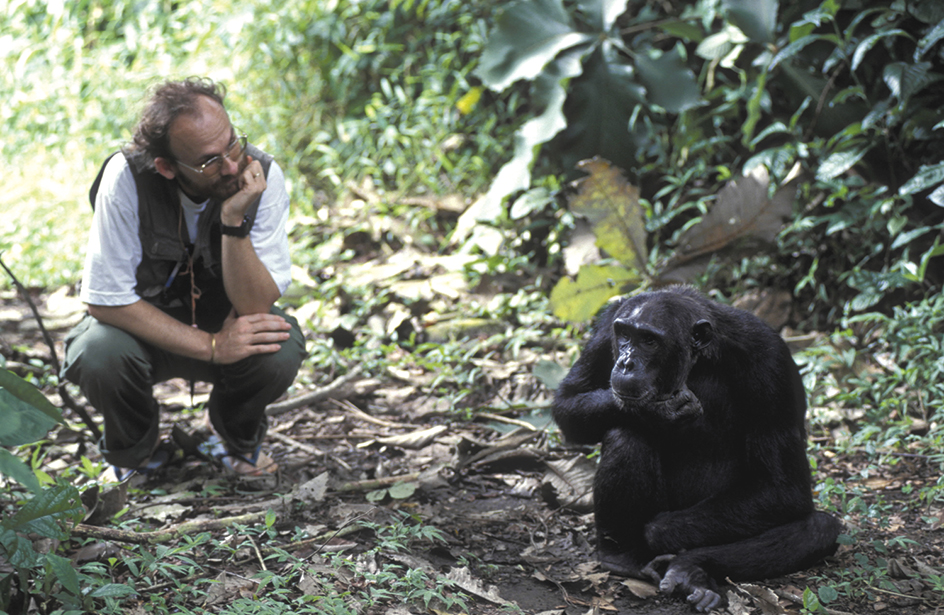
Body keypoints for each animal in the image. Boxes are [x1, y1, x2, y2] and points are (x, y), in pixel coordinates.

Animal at [552, 288, 840, 612]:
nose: (626, 362)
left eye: (649, 341)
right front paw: (656, 411)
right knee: (625, 435)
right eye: (625, 335)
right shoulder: (605, 332)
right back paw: (623, 558)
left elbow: (783, 488)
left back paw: (690, 569)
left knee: (818, 529)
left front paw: (659, 530)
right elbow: (568, 402)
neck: (703, 357)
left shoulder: (771, 362)